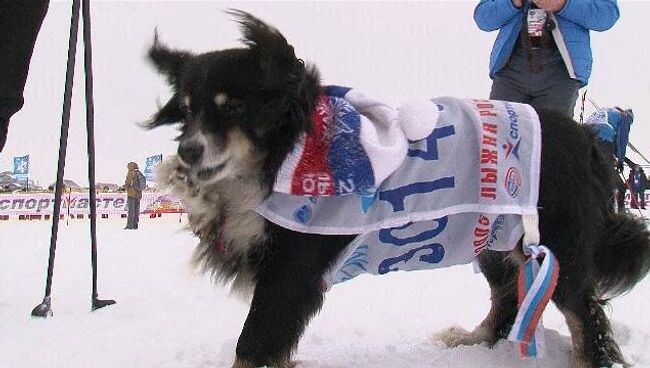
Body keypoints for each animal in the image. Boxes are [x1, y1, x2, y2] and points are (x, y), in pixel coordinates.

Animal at [146, 11, 648, 368]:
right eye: (186, 111)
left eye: (233, 107)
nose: (189, 151)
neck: (287, 152)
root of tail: (587, 138)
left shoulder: (290, 271)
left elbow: (253, 343)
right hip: (495, 236)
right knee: (508, 296)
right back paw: (475, 339)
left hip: (554, 246)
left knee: (585, 314)